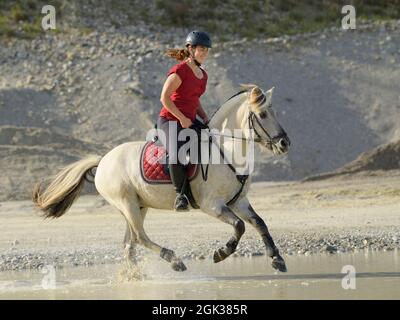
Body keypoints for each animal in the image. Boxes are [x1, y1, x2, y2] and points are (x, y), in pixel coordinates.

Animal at [32, 84, 290, 276]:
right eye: (263, 114)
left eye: (276, 112)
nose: (284, 143)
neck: (225, 150)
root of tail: (103, 160)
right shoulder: (212, 205)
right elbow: (239, 226)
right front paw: (221, 253)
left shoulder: (238, 201)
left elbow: (259, 223)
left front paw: (277, 259)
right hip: (126, 203)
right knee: (139, 237)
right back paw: (173, 260)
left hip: (138, 205)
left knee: (129, 243)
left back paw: (135, 276)